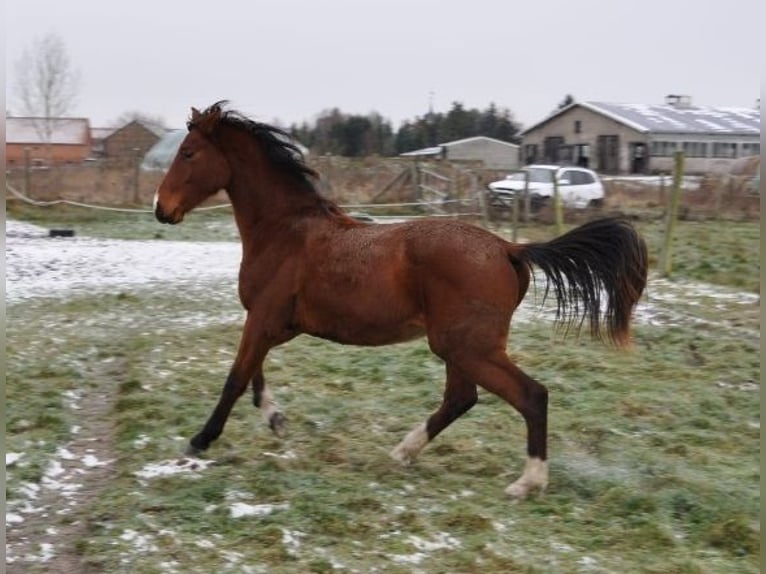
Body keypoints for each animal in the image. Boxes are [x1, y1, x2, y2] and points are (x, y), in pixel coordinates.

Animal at [154, 102, 648, 500]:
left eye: (189, 153)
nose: (162, 208)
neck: (285, 232)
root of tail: (509, 249)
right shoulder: (271, 323)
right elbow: (253, 375)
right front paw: (275, 419)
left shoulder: (263, 318)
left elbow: (236, 378)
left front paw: (200, 440)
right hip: (459, 347)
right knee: (461, 398)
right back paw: (402, 452)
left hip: (467, 346)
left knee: (530, 395)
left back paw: (527, 483)